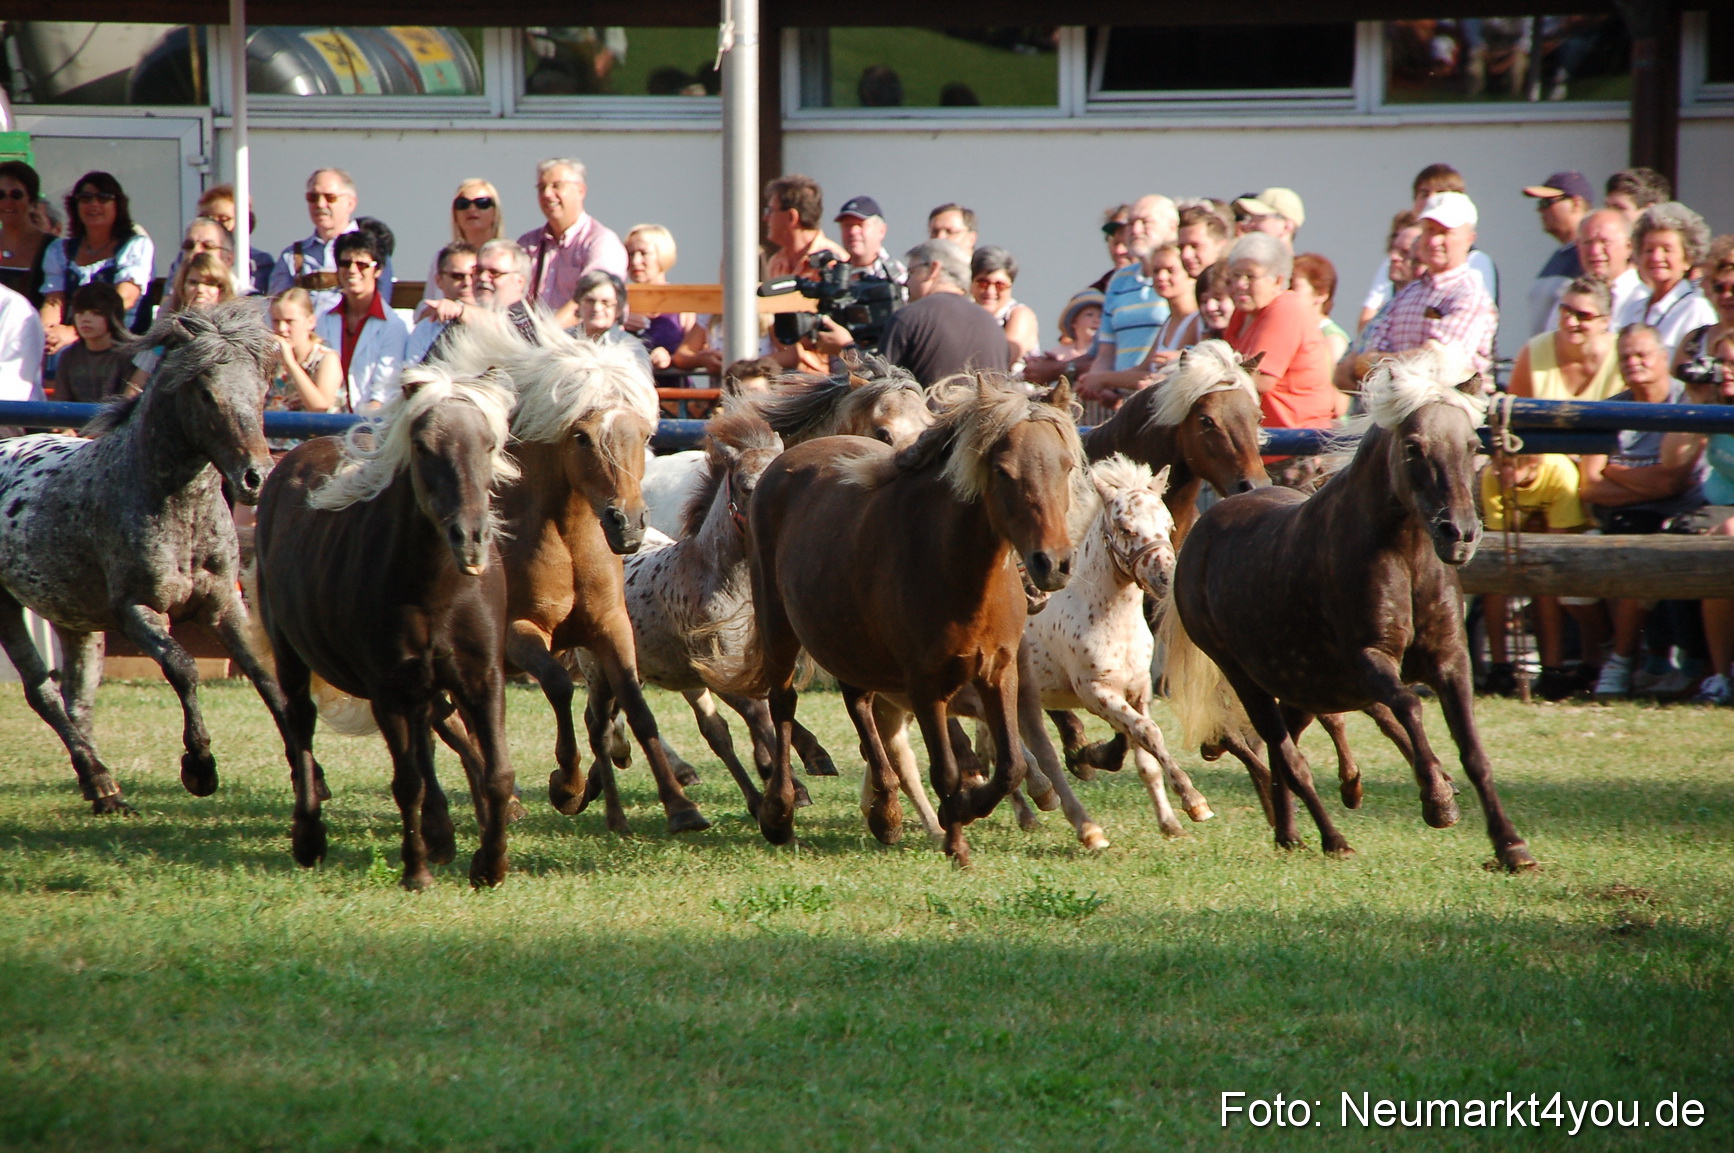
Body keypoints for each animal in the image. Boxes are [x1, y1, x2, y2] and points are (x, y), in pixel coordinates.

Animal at [0, 301, 303, 813]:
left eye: (262, 390)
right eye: (206, 393)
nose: (256, 478)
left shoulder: (224, 604)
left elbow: (267, 678)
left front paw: (310, 777)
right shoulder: (137, 610)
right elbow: (182, 668)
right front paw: (199, 768)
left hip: (73, 617)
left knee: (77, 696)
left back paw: (104, 794)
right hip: (7, 608)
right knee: (43, 692)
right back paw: (101, 780)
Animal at [253, 365, 518, 888]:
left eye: (489, 444)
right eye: (423, 446)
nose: (470, 538)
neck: (436, 590)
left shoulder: (482, 679)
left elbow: (496, 772)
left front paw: (490, 865)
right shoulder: (387, 690)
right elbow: (407, 781)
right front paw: (416, 872)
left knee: (429, 735)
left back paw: (441, 835)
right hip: (292, 655)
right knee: (301, 724)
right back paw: (309, 838)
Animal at [435, 312, 709, 835]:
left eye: (645, 434)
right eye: (581, 437)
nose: (628, 523)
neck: (568, 548)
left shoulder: (611, 627)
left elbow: (637, 706)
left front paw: (681, 806)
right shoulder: (519, 634)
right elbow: (559, 687)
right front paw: (567, 785)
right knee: (456, 724)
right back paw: (505, 803)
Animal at [720, 376, 1082, 865]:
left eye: (1066, 465)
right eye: (1003, 470)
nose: (1053, 564)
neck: (956, 566)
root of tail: (786, 462)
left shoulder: (999, 673)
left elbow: (1011, 765)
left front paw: (963, 809)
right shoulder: (925, 684)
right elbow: (947, 770)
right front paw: (956, 836)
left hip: (847, 641)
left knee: (858, 704)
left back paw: (886, 812)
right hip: (779, 628)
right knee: (783, 705)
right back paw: (780, 812)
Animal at [1158, 347, 1536, 871]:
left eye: (1471, 445)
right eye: (1413, 447)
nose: (1459, 534)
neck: (1403, 556)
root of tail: (1200, 533)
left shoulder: (1451, 661)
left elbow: (1473, 752)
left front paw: (1511, 846)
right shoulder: (1368, 661)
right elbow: (1408, 706)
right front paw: (1438, 801)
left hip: (1298, 684)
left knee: (1282, 748)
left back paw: (1291, 832)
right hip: (1244, 675)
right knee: (1285, 753)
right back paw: (1332, 838)